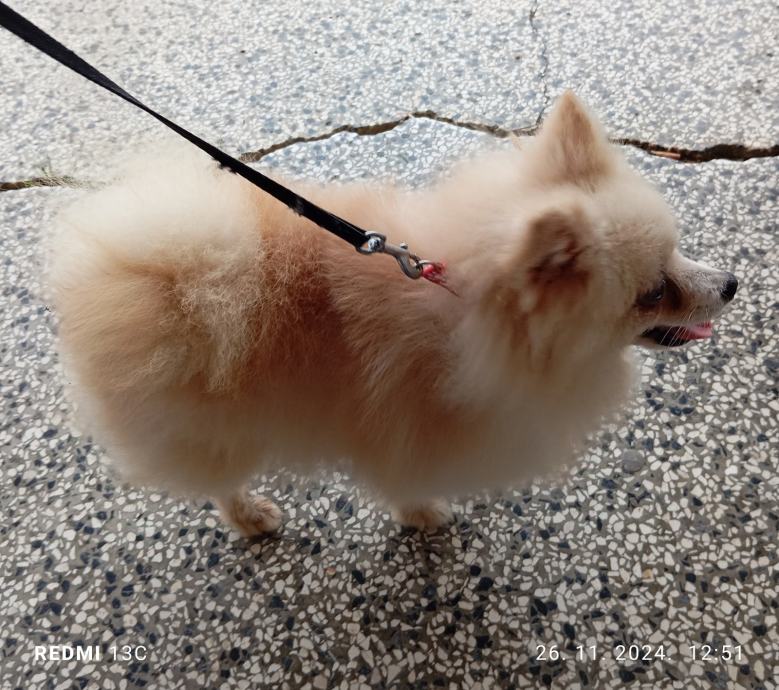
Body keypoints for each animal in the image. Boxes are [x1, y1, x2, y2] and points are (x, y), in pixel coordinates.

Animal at [48, 92, 738, 535]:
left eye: (677, 250)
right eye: (652, 292)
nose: (731, 284)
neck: (468, 313)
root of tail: (148, 271)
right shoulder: (404, 426)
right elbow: (406, 479)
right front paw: (424, 515)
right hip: (217, 428)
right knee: (220, 479)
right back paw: (250, 516)